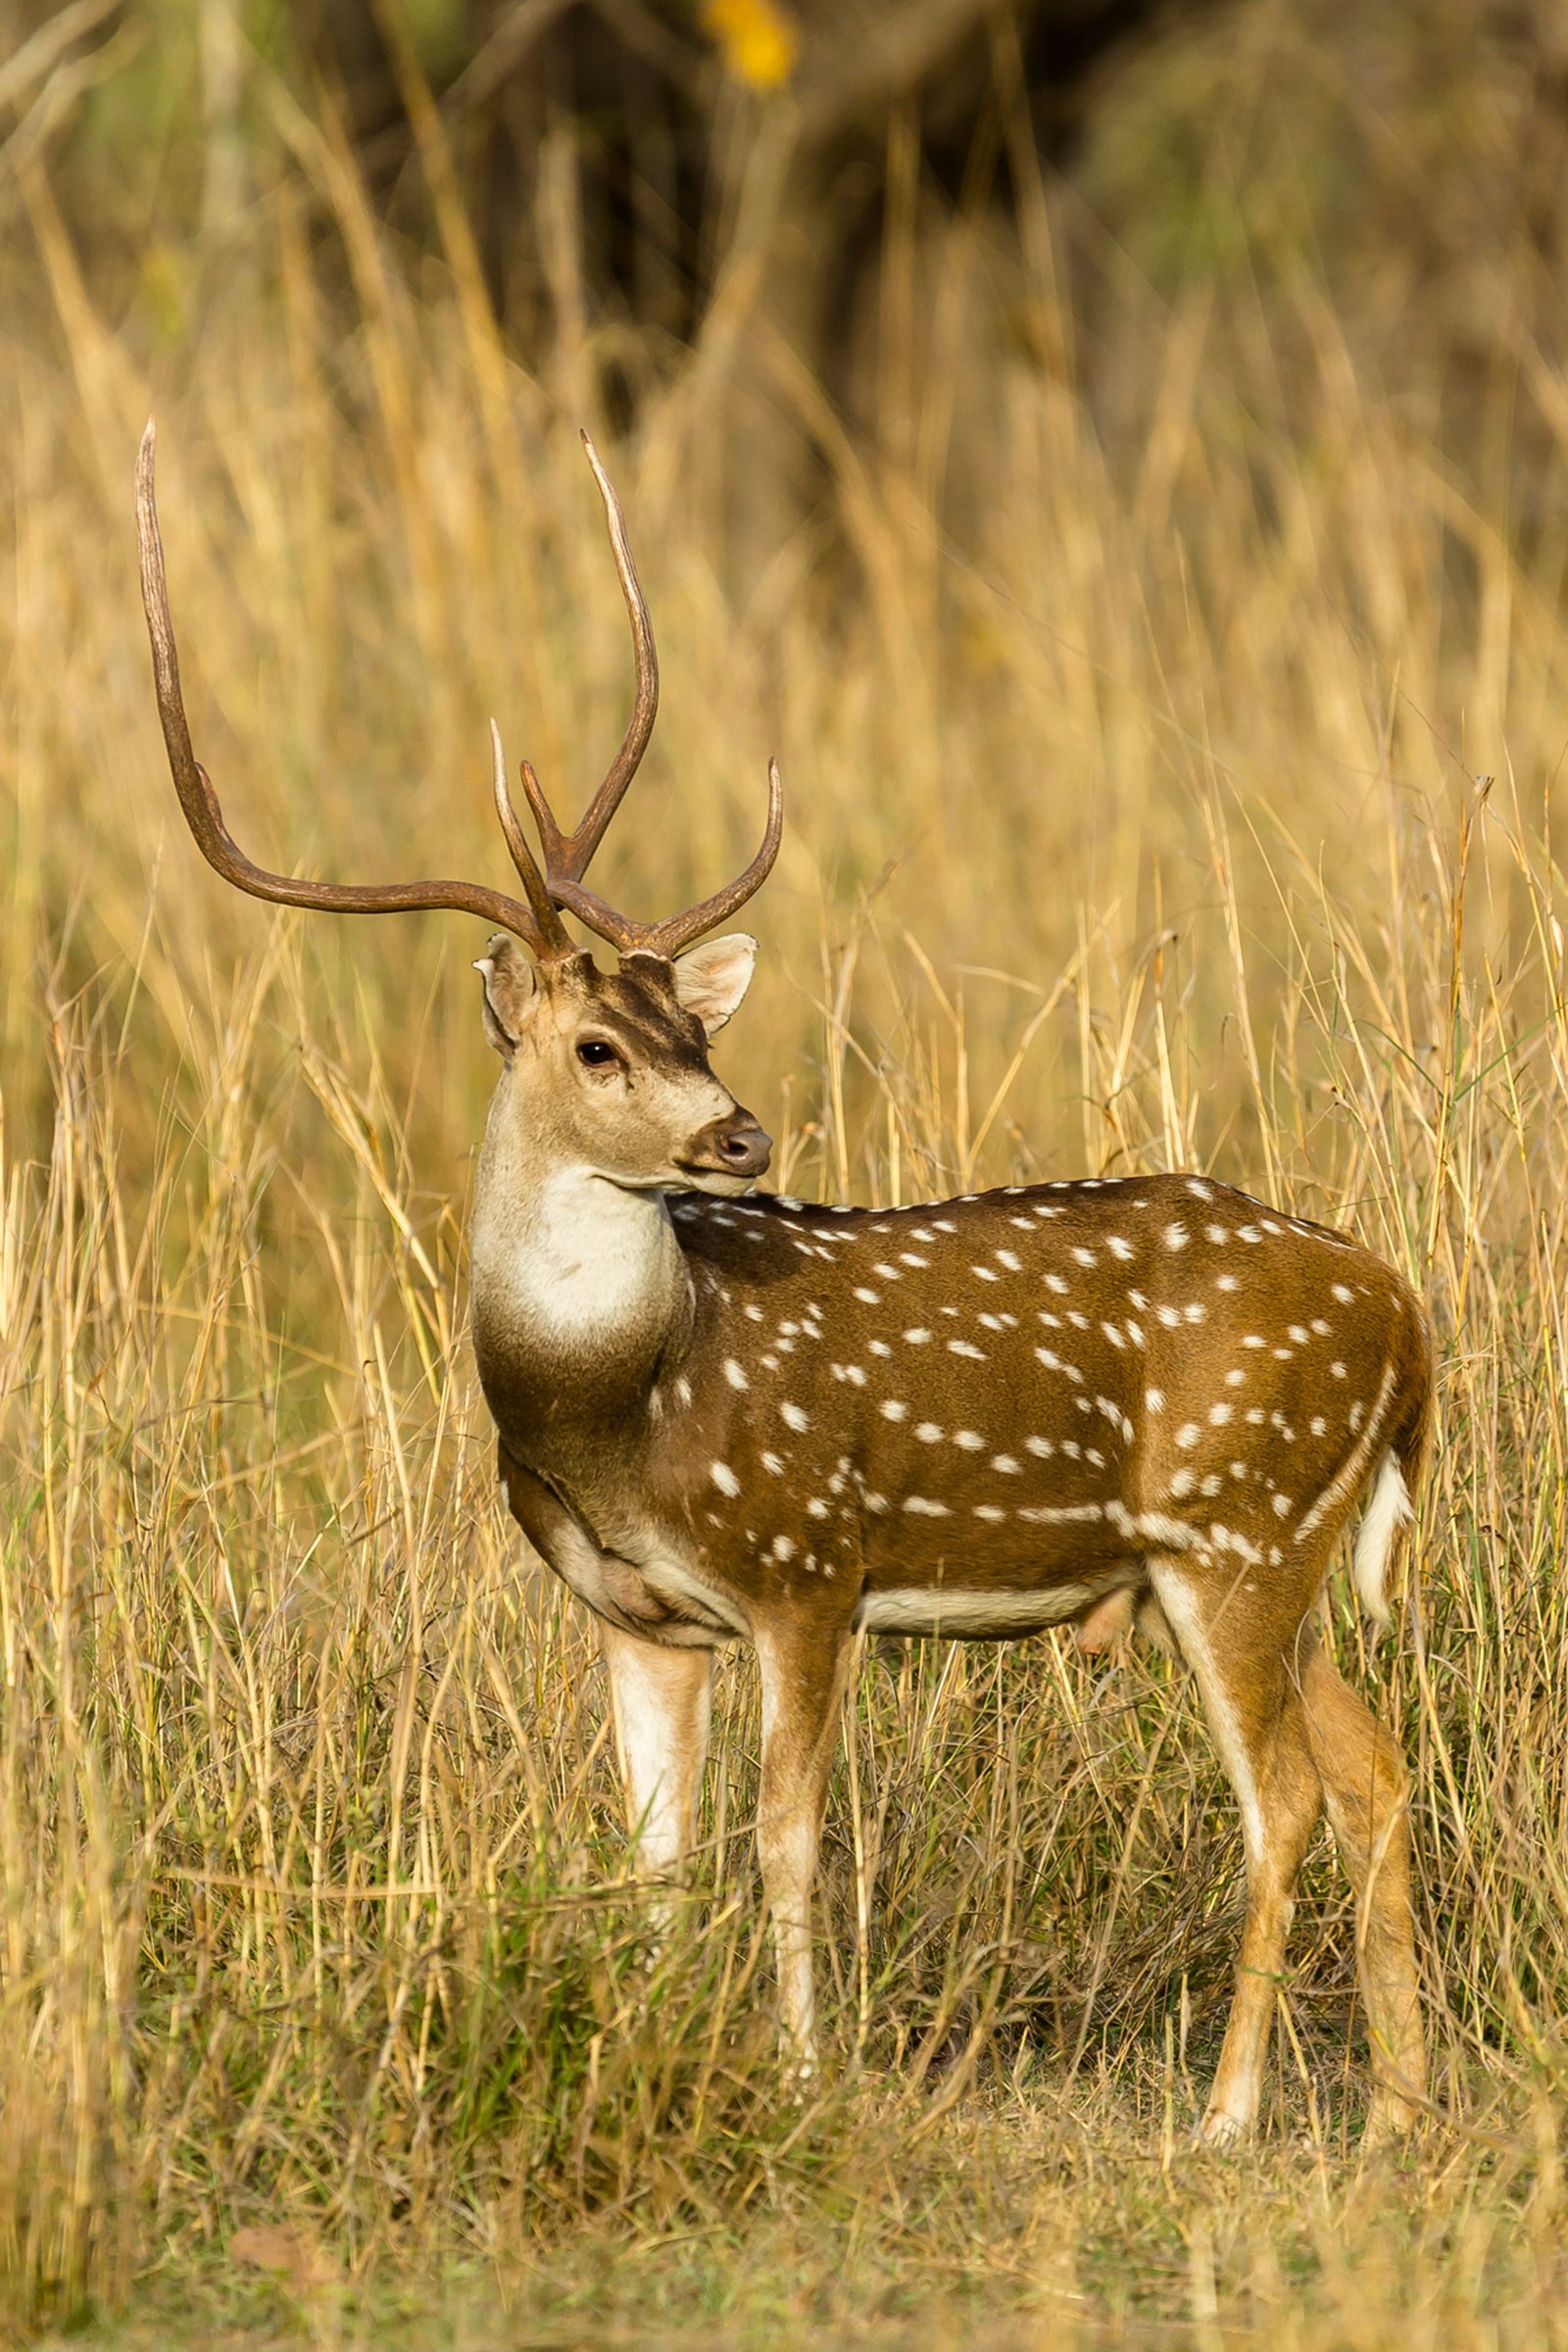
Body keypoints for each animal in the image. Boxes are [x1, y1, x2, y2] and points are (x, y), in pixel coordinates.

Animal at [136, 420, 1431, 2149]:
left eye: (694, 1024)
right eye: (600, 1044)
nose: (737, 1134)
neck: (620, 1411)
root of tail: (1407, 1316)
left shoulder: (810, 1563)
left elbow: (789, 1838)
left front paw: (810, 2075)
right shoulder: (634, 1614)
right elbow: (655, 1861)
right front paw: (647, 2043)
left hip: (1234, 1525)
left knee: (1282, 1792)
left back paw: (1226, 2118)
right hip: (1248, 1559)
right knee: (1372, 1768)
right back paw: (1404, 2108)